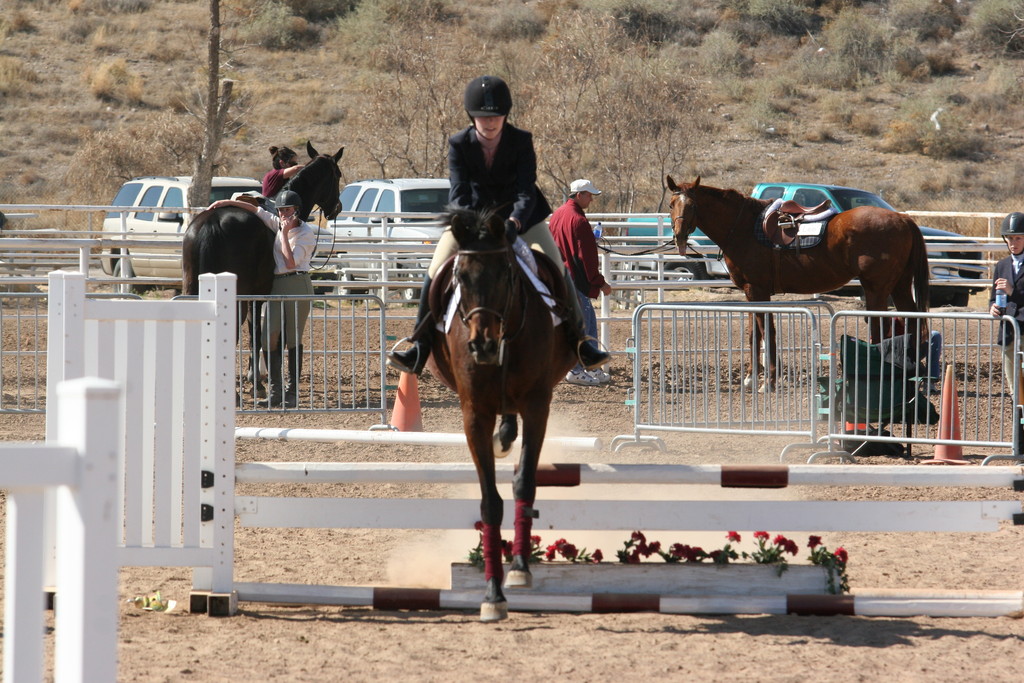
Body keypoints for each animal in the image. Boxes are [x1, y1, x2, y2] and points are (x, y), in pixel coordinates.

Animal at [182, 139, 346, 385]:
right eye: (337, 175)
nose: (337, 207)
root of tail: (212, 224)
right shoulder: (259, 293)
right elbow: (258, 332)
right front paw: (256, 377)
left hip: (191, 288)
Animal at [425, 205, 581, 622]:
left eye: (506, 274)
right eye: (460, 277)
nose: (482, 345)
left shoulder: (538, 404)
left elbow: (524, 482)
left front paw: (520, 571)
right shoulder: (474, 413)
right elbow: (490, 502)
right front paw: (493, 595)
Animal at [663, 175, 929, 389]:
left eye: (693, 205)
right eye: (671, 204)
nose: (679, 236)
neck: (743, 227)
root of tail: (903, 220)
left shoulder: (758, 290)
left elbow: (767, 331)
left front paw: (769, 381)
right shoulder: (749, 292)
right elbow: (753, 333)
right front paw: (750, 378)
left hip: (877, 288)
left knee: (880, 327)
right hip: (899, 286)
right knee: (913, 321)